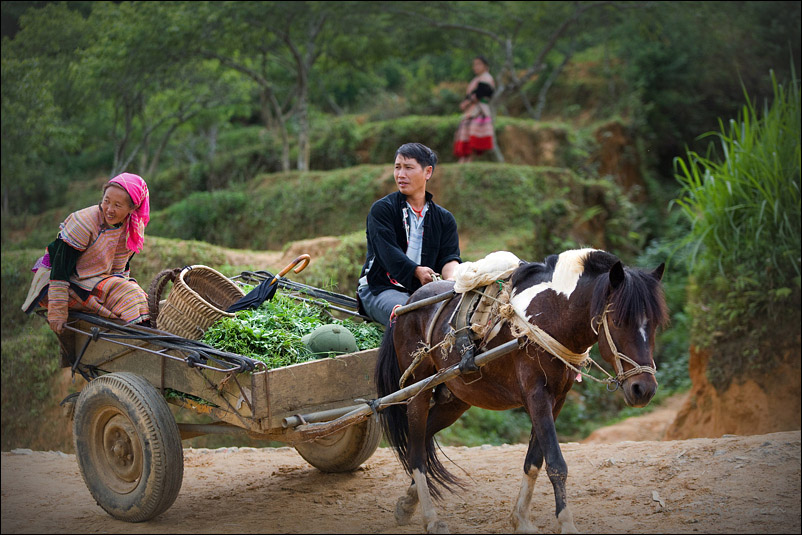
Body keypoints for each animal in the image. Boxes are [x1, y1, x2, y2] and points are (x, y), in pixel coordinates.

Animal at [376, 249, 668, 532]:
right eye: (617, 321)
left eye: (654, 324)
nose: (644, 389)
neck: (551, 317)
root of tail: (406, 305)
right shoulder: (537, 397)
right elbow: (556, 464)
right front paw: (566, 523)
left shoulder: (557, 400)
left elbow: (534, 461)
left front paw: (521, 520)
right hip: (417, 390)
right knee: (415, 452)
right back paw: (431, 518)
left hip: (457, 398)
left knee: (423, 438)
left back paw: (407, 504)